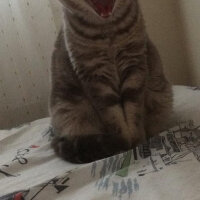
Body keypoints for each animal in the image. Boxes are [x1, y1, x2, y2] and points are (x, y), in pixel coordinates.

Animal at [49, 0, 173, 163]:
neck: (108, 32)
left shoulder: (134, 67)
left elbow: (134, 113)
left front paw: (137, 141)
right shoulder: (95, 77)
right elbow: (113, 117)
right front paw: (124, 144)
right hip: (68, 112)